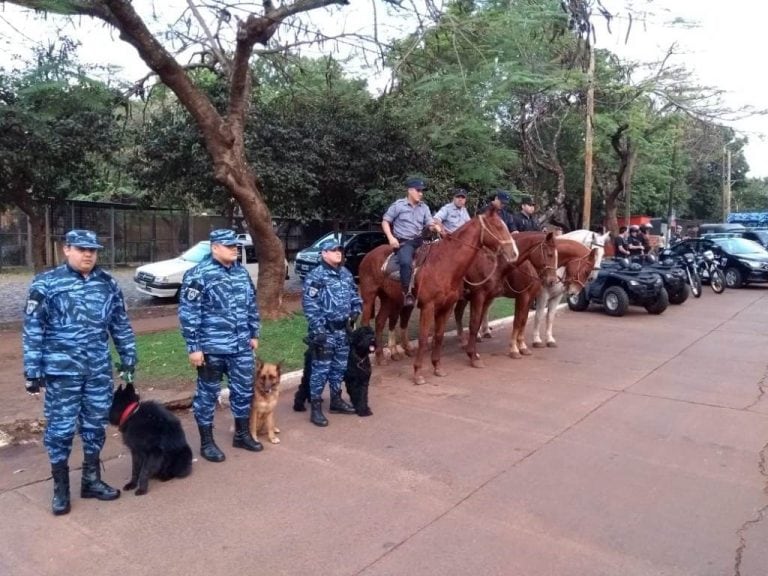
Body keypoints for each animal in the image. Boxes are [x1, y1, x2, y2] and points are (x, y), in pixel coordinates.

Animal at [358, 207, 520, 382]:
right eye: (498, 226)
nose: (514, 253)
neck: (444, 264)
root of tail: (368, 255)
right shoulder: (429, 306)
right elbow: (423, 338)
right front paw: (418, 372)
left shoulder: (446, 307)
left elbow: (439, 335)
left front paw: (437, 366)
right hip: (369, 297)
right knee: (366, 323)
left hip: (388, 298)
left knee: (380, 322)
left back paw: (381, 358)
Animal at [456, 232, 560, 366]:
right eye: (550, 254)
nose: (553, 281)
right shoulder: (522, 296)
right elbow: (517, 322)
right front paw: (514, 350)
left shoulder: (529, 298)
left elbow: (523, 321)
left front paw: (522, 347)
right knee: (459, 313)